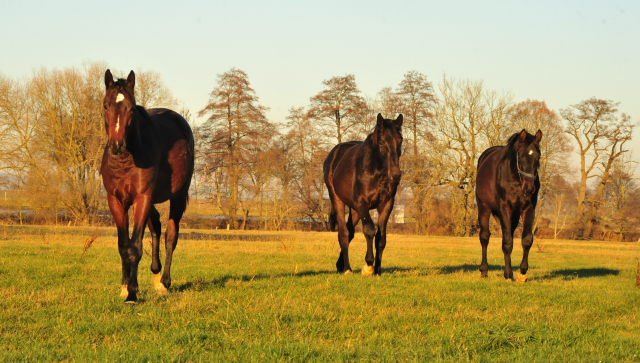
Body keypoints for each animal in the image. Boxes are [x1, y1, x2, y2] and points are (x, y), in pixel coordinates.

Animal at [100, 69, 194, 302]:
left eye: (131, 108)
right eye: (106, 105)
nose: (117, 145)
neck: (126, 161)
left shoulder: (141, 198)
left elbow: (135, 246)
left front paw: (132, 294)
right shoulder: (116, 201)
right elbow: (123, 245)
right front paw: (125, 286)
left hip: (177, 197)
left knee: (170, 236)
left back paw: (164, 282)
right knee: (156, 227)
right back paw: (156, 273)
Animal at [322, 114, 402, 276]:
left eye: (400, 140)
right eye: (382, 142)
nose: (396, 175)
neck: (376, 172)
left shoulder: (386, 205)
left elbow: (381, 238)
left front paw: (377, 270)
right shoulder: (362, 203)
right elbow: (369, 230)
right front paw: (368, 266)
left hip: (354, 210)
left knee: (350, 232)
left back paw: (340, 265)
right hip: (338, 200)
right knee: (344, 233)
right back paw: (347, 268)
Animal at [478, 129, 544, 282]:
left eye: (538, 156)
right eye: (520, 155)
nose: (529, 188)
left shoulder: (528, 209)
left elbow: (526, 240)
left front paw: (522, 274)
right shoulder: (504, 208)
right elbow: (507, 242)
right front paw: (508, 274)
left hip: (514, 215)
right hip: (483, 207)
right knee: (484, 237)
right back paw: (484, 271)